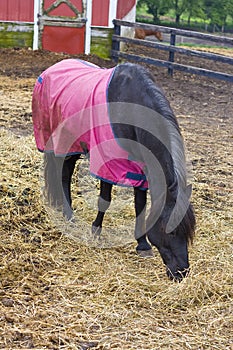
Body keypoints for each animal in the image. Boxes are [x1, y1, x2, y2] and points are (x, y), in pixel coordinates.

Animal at [31, 58, 196, 280]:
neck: (133, 111)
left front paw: (142, 244)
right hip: (63, 143)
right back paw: (69, 216)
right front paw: (95, 232)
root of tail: (51, 69)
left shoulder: (141, 170)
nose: (181, 272)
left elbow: (140, 205)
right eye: (169, 230)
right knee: (64, 177)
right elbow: (104, 200)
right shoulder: (106, 162)